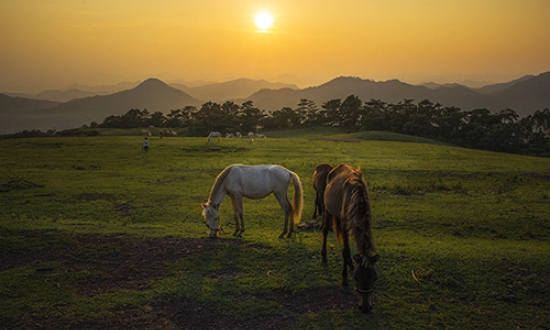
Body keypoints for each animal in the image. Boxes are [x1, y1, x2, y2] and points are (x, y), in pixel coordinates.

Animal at [324, 164, 380, 314]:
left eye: (374, 278)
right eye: (356, 278)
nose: (365, 308)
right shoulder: (344, 226)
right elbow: (345, 251)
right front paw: (344, 281)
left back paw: (350, 264)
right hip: (327, 209)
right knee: (325, 231)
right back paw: (324, 257)